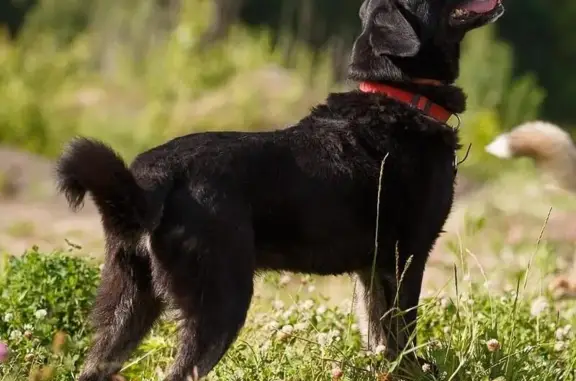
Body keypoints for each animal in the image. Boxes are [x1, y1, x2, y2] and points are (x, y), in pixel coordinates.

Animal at [55, 1, 504, 378]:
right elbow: (402, 337)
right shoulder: (405, 258)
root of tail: (151, 183)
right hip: (220, 300)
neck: (400, 96)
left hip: (128, 303)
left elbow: (378, 339)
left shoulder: (372, 270)